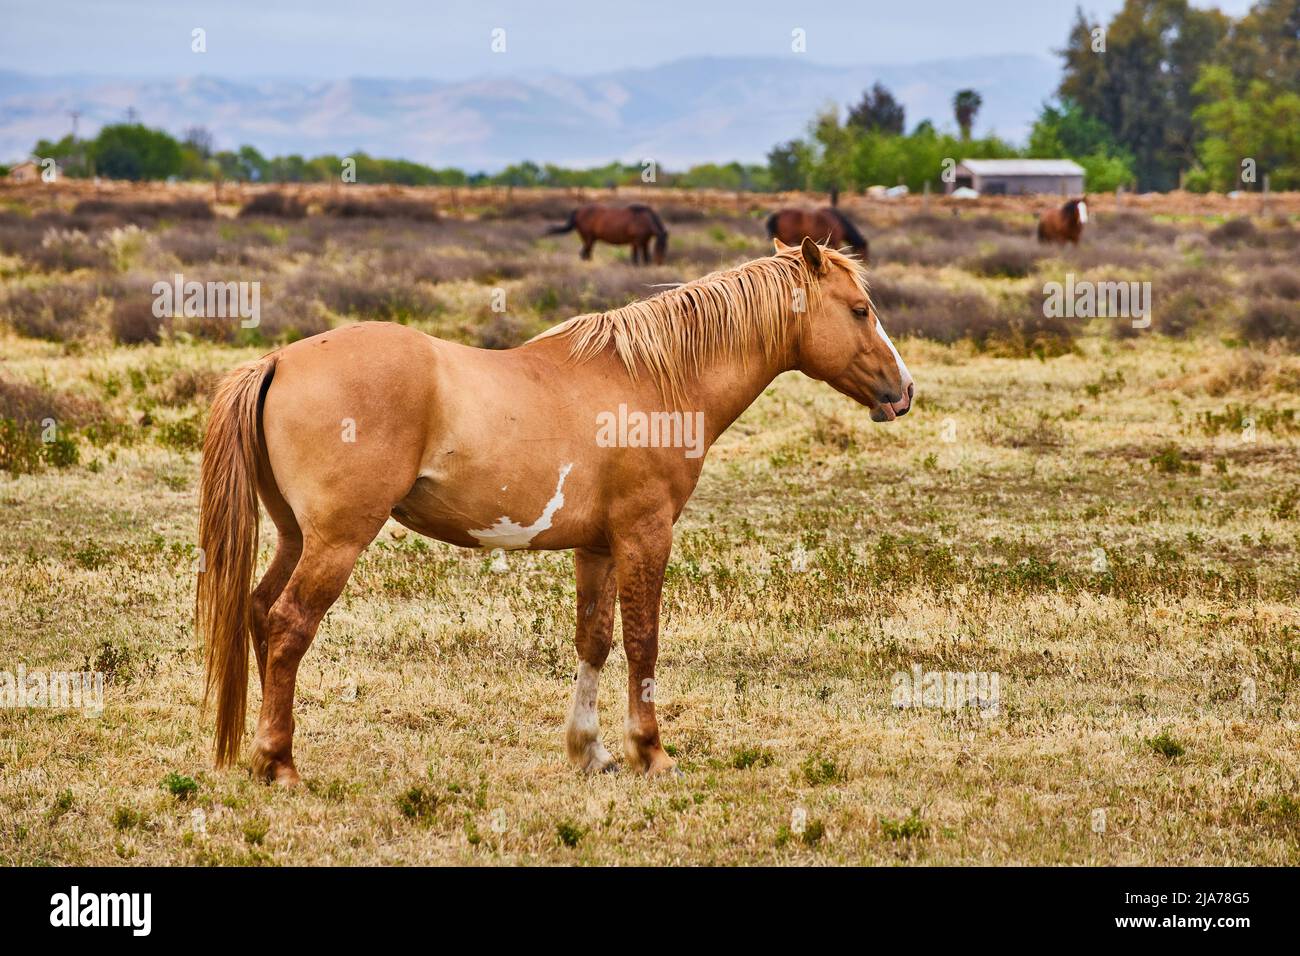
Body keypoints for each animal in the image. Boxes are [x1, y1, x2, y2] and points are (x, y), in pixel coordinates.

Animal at [200, 238, 915, 785]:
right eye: (860, 310)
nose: (904, 392)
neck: (653, 378)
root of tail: (278, 359)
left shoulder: (597, 546)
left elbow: (594, 640)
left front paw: (590, 751)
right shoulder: (645, 535)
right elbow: (643, 642)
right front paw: (651, 753)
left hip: (296, 536)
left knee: (260, 612)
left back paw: (263, 756)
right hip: (337, 540)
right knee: (289, 624)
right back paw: (280, 764)